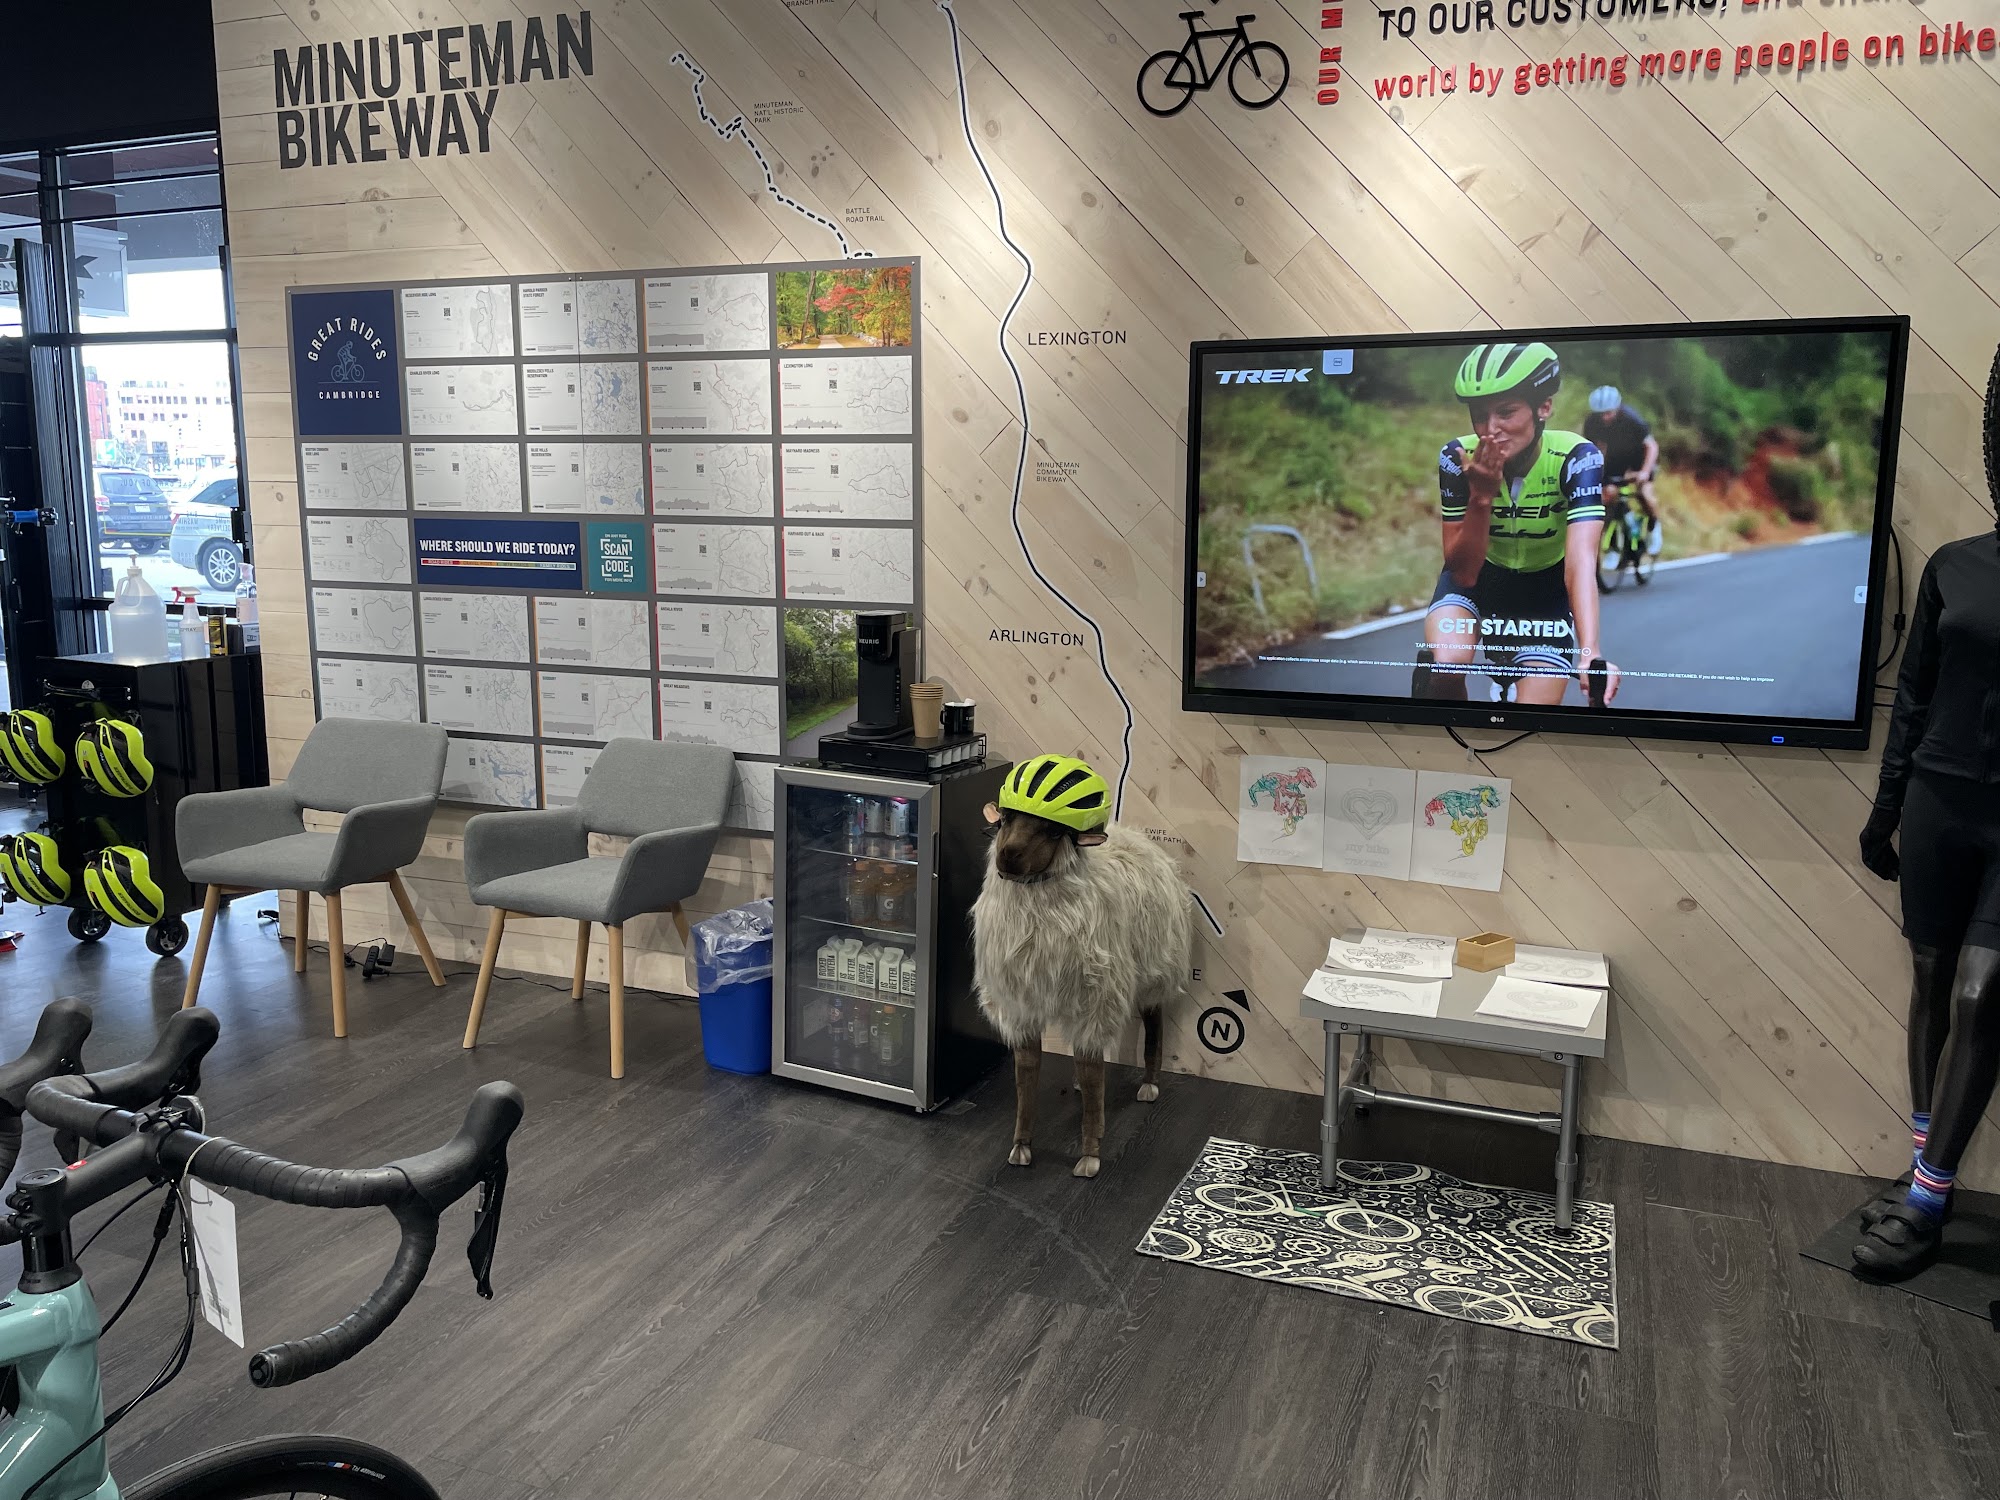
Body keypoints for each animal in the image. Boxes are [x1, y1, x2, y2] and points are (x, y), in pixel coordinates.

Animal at [971, 803, 1191, 1177]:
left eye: (1053, 831)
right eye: (1006, 818)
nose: (1008, 856)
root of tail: (1135, 836)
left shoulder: (1095, 998)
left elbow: (1091, 1075)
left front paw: (1090, 1153)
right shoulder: (1020, 1003)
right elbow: (1026, 1076)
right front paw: (1021, 1146)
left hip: (1156, 962)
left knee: (1153, 1020)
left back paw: (1149, 1083)